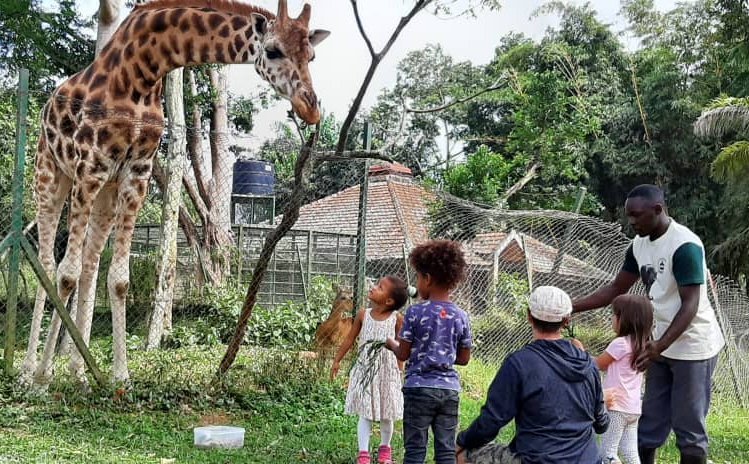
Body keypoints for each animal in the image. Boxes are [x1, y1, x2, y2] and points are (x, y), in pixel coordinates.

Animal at [21, 0, 328, 386]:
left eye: (312, 55)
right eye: (272, 50)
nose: (311, 107)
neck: (144, 71)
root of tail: (49, 102)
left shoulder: (135, 171)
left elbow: (118, 280)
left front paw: (120, 377)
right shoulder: (89, 165)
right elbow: (66, 274)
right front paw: (44, 375)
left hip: (106, 189)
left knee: (90, 265)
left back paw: (78, 373)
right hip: (52, 171)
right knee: (49, 262)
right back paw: (29, 371)